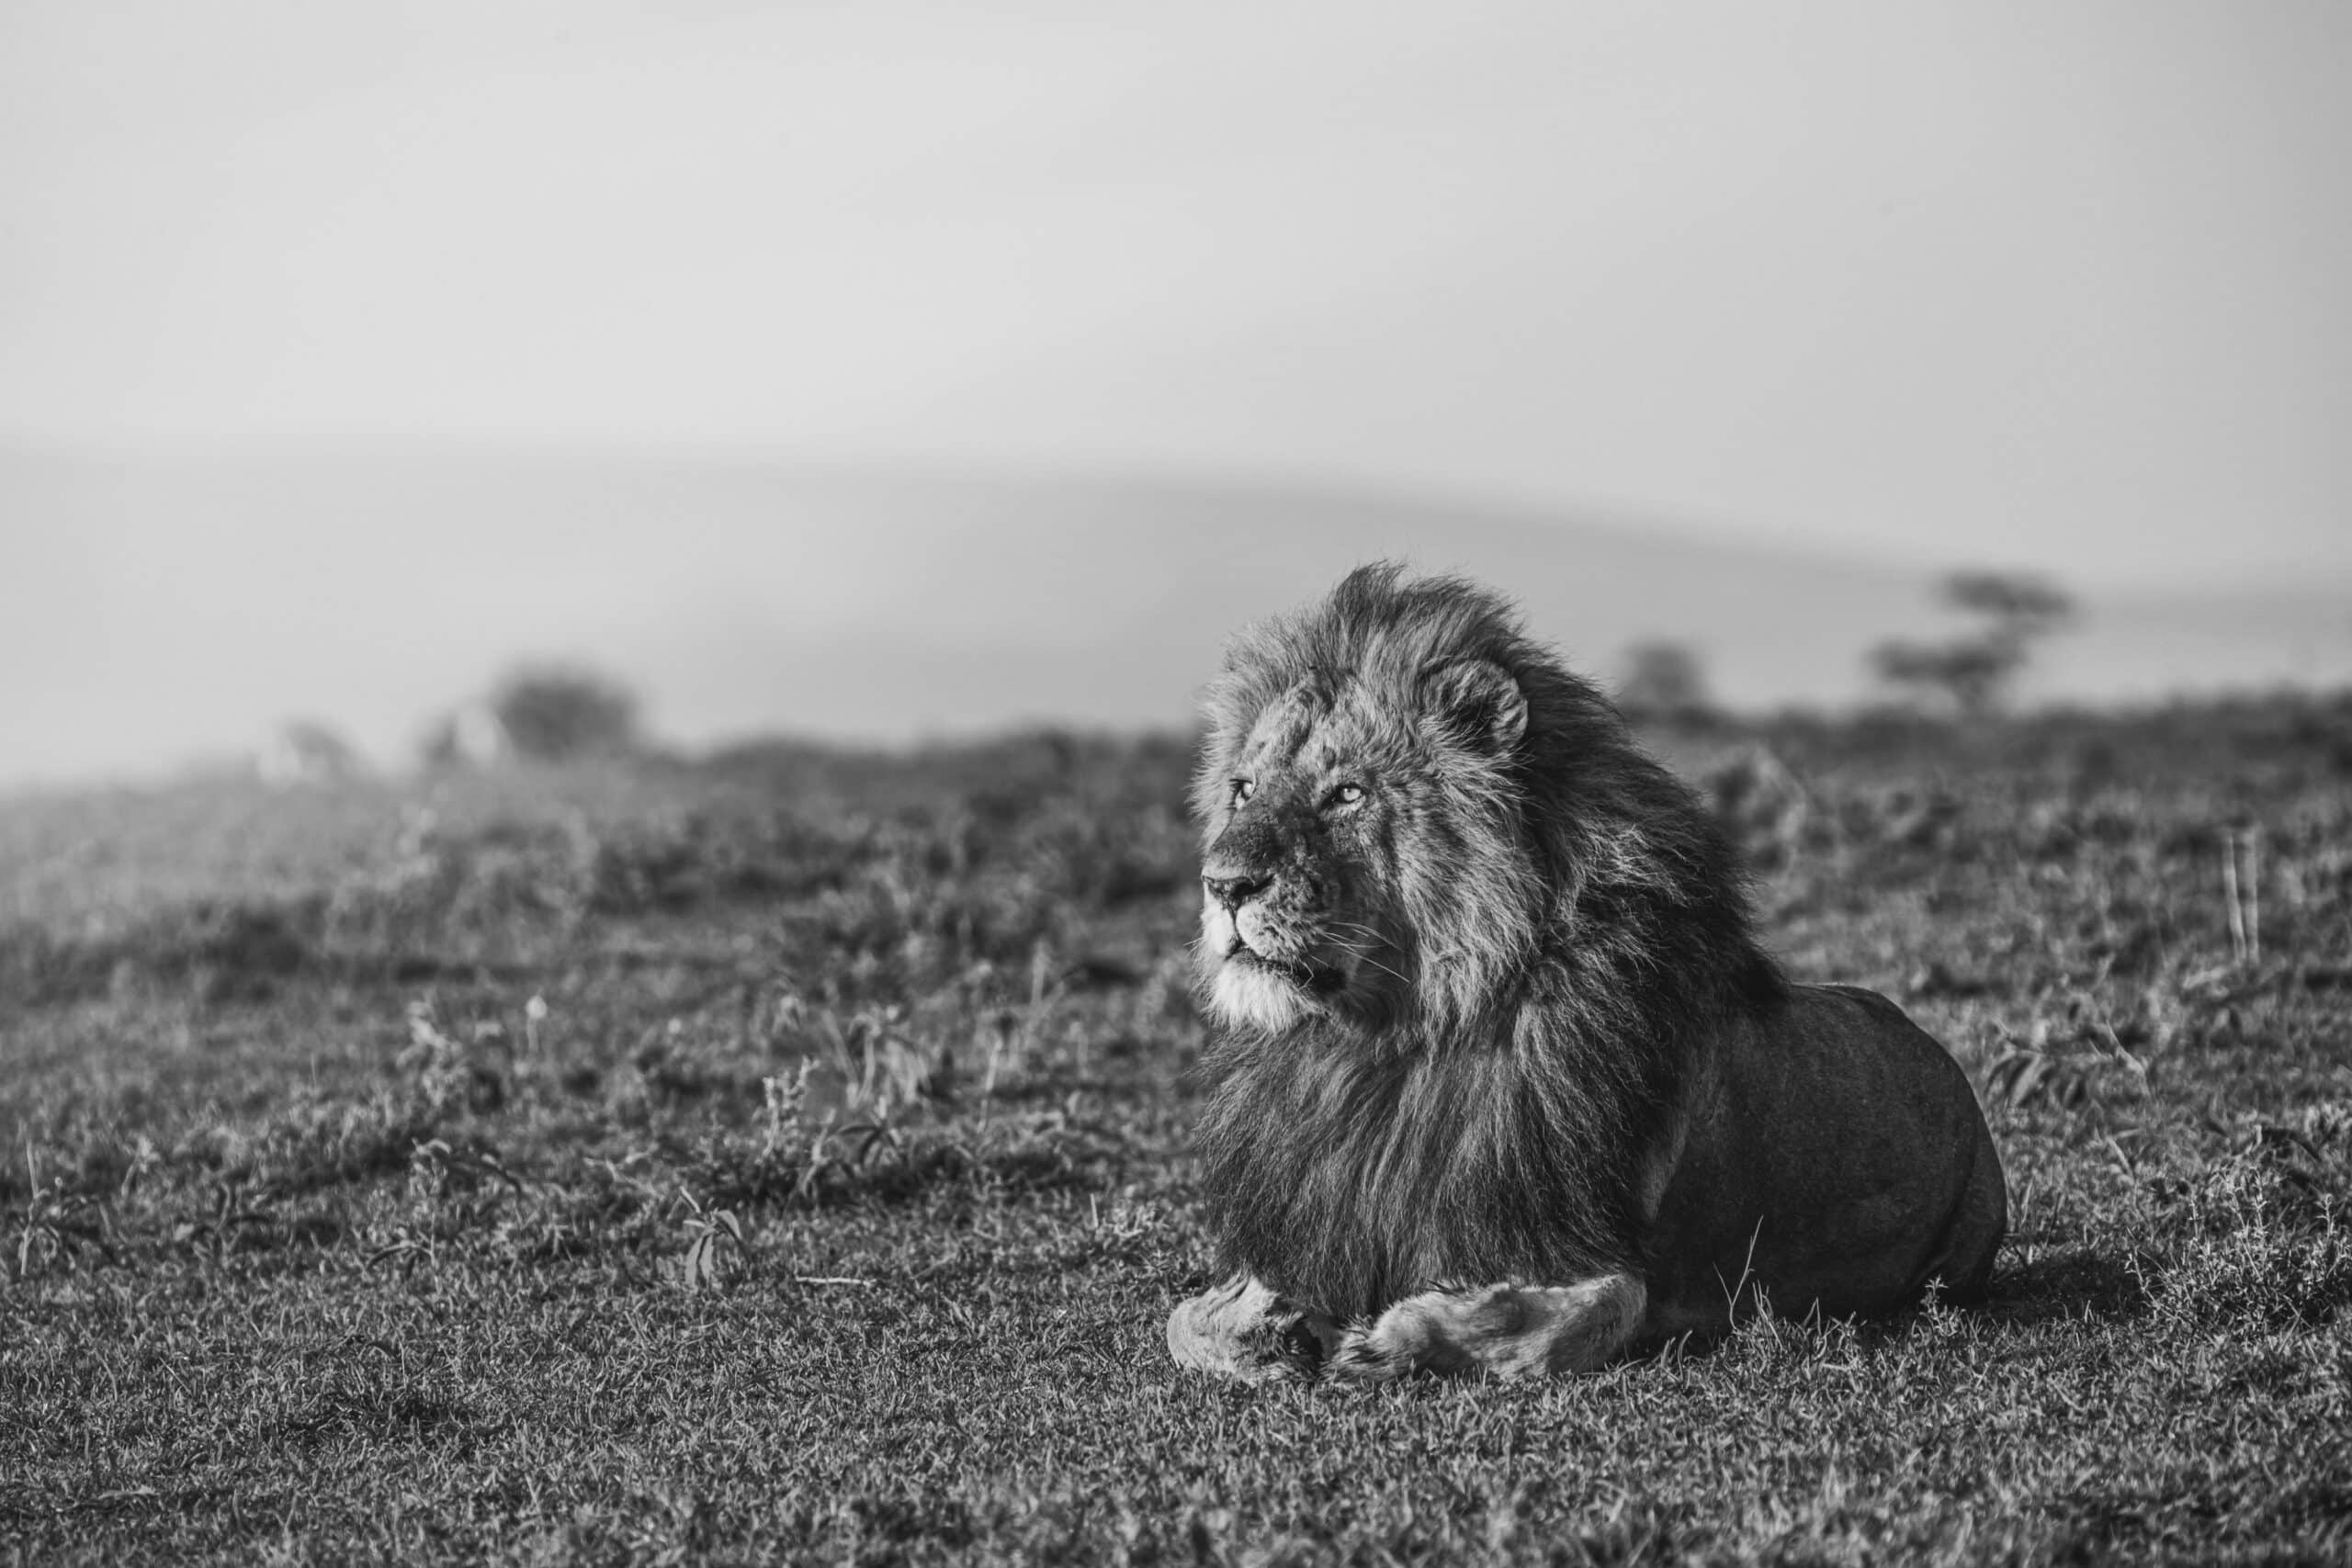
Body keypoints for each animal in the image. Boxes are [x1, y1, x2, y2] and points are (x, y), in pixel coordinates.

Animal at [1157, 570, 2004, 1382]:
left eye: (1347, 793)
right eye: (1243, 788)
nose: (1224, 884)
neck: (1389, 1042)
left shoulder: (1611, 1259)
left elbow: (1552, 1323)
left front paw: (1386, 1339)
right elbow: (1185, 1322)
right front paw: (1267, 1339)